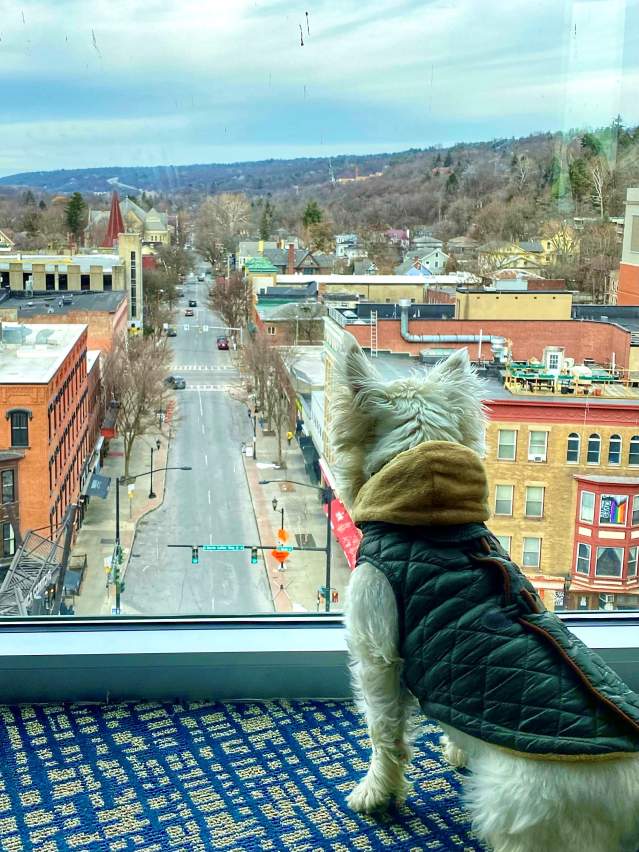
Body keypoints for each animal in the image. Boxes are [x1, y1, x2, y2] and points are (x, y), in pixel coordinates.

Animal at [336, 342, 639, 852]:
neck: (432, 520)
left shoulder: (378, 655)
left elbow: (384, 732)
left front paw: (375, 793)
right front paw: (458, 748)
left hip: (512, 803)